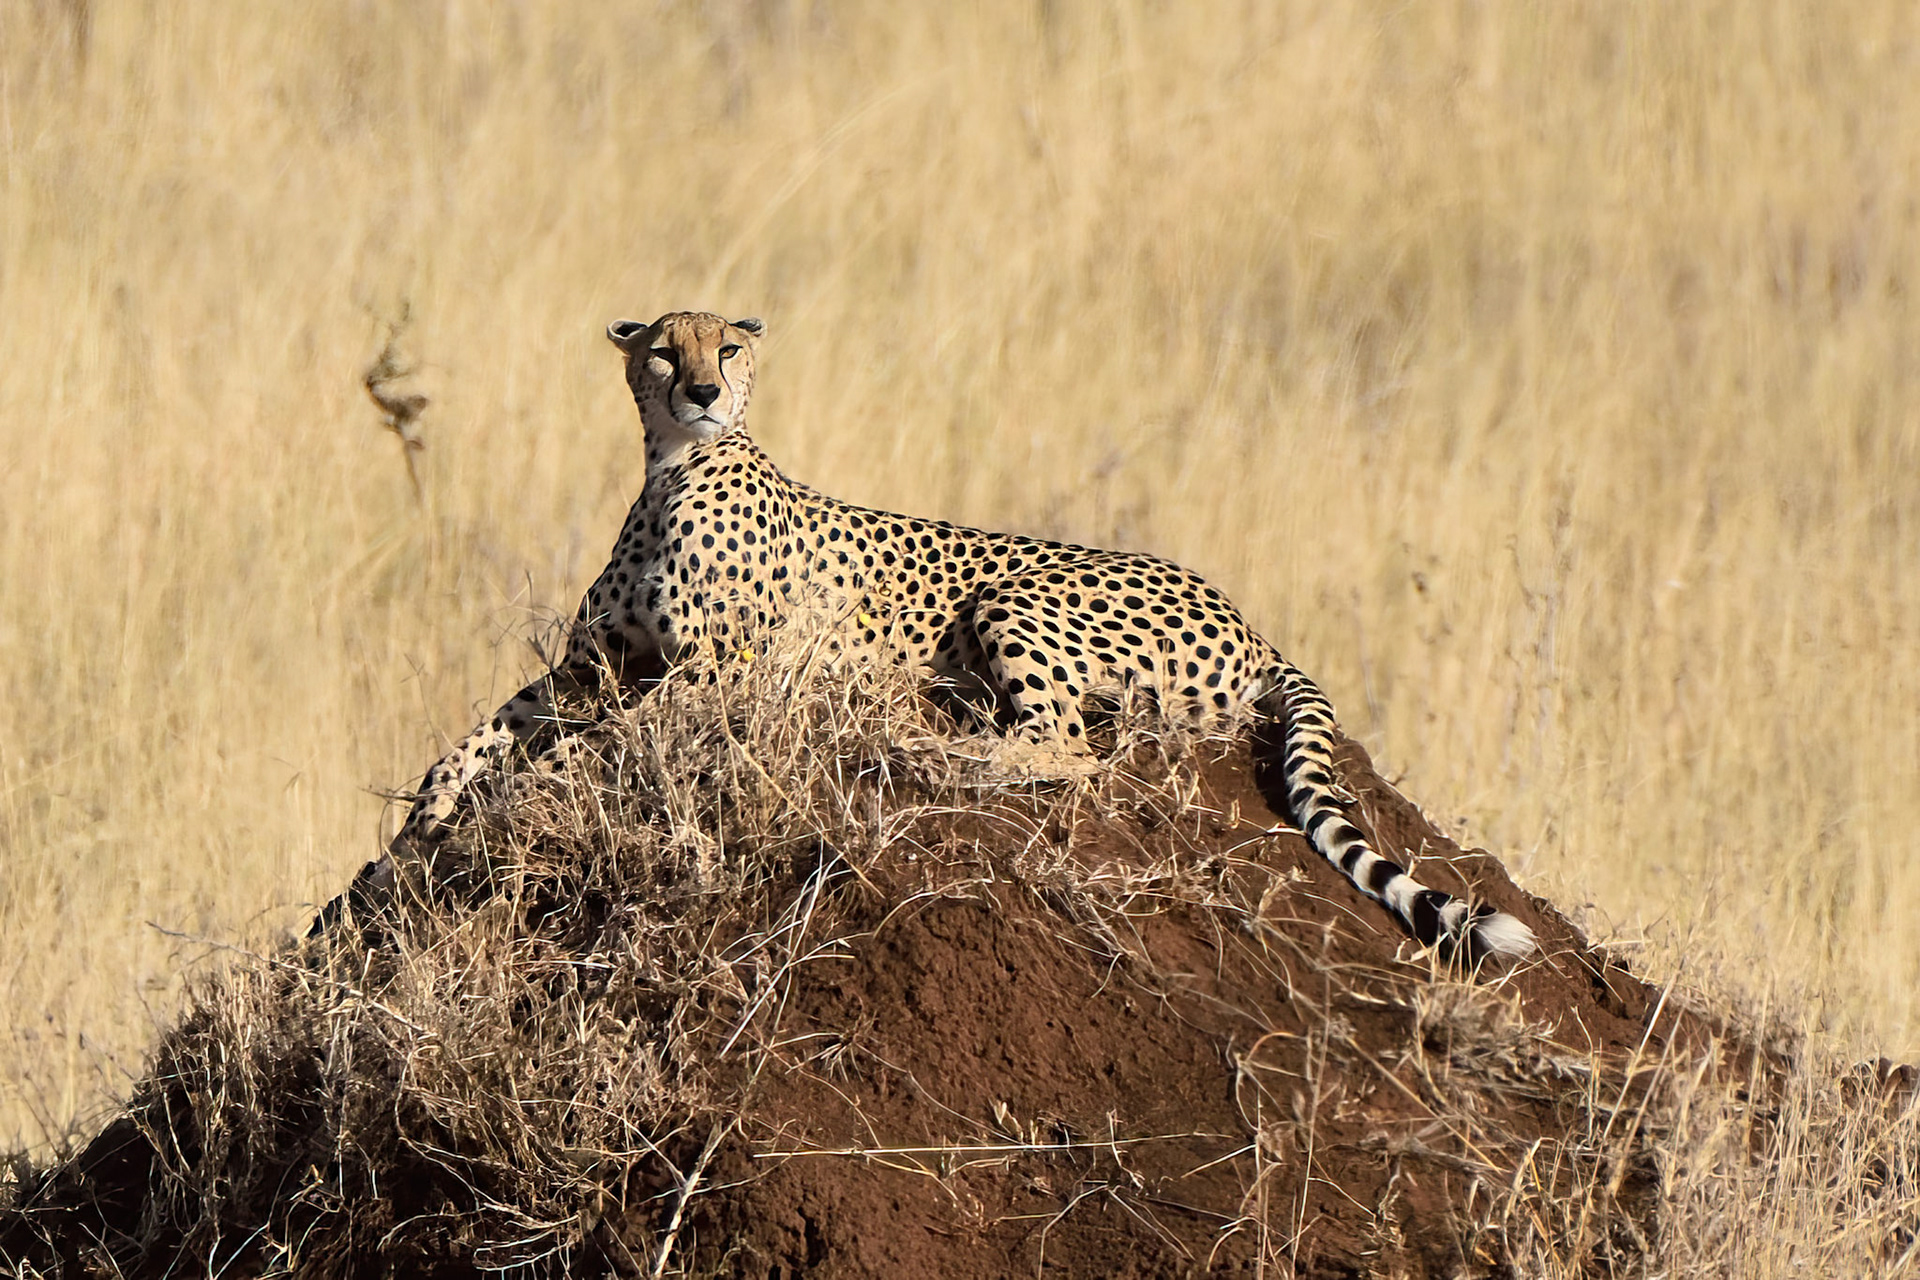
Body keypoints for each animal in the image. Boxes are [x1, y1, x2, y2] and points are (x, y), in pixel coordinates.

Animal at [345, 310, 1533, 959]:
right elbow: (489, 729)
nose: (704, 389)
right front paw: (433, 807)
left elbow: (596, 740)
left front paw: (522, 792)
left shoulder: (721, 671)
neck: (676, 466)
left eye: (728, 344)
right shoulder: (592, 663)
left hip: (1021, 599)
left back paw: (937, 745)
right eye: (662, 351)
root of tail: (1249, 616)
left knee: (1067, 747)